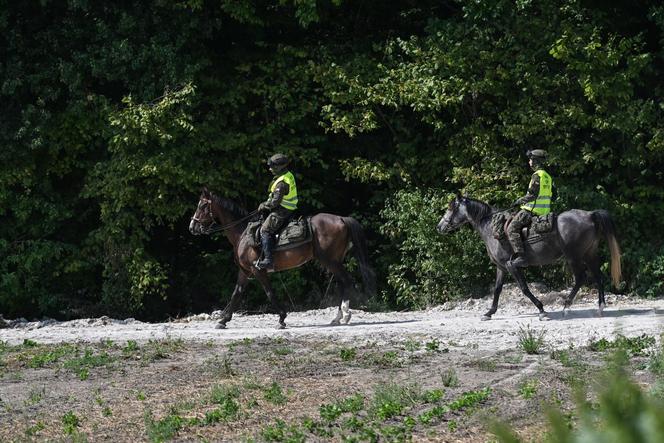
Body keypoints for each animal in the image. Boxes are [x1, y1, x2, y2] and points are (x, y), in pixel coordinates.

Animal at [189, 188, 374, 330]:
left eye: (203, 205)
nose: (192, 227)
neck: (243, 234)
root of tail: (341, 218)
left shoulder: (258, 270)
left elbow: (269, 293)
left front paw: (282, 319)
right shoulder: (245, 271)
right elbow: (237, 293)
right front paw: (223, 320)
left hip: (330, 261)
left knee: (347, 280)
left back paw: (346, 314)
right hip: (334, 261)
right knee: (342, 282)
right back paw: (337, 317)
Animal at [438, 196, 620, 320]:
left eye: (451, 208)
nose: (439, 226)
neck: (492, 228)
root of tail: (590, 215)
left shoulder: (512, 265)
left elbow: (524, 288)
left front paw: (541, 310)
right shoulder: (501, 267)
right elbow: (497, 289)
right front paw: (489, 312)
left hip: (574, 257)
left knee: (581, 278)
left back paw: (567, 307)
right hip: (589, 254)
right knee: (598, 276)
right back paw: (600, 307)